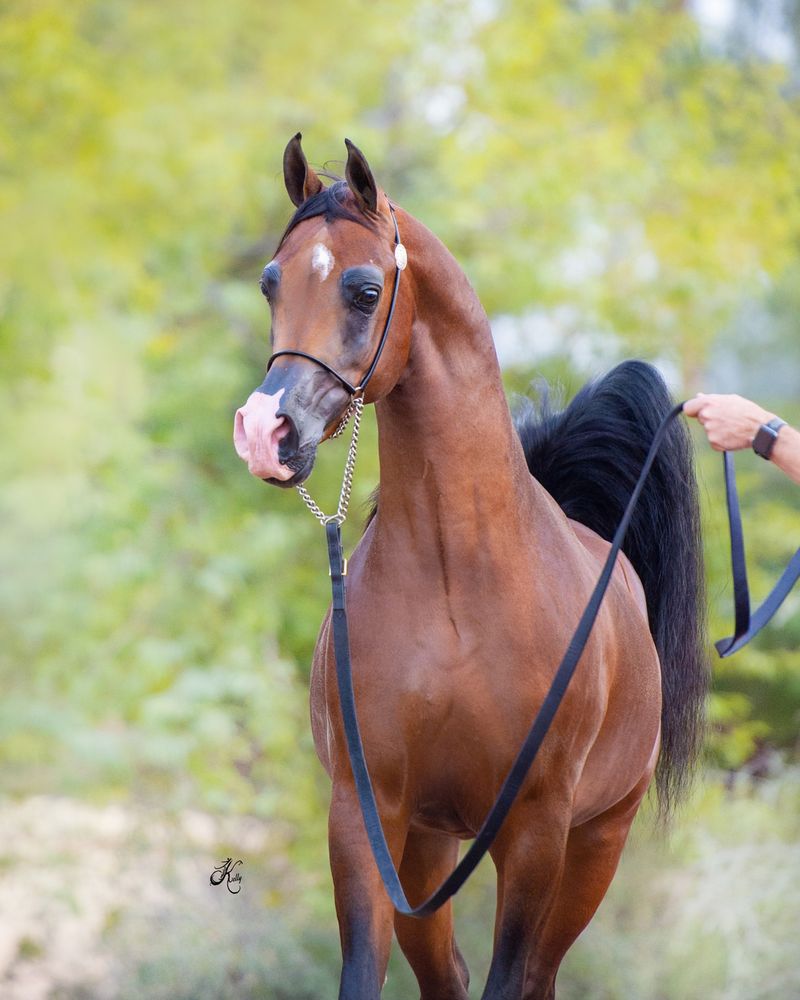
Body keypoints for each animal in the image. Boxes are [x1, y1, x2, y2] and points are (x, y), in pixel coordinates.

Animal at [233, 135, 708, 1000]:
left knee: (541, 975)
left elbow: (511, 974)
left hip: (596, 845)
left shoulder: (536, 830)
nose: (263, 433)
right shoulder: (367, 816)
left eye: (363, 289)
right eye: (270, 282)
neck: (459, 582)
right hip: (427, 847)